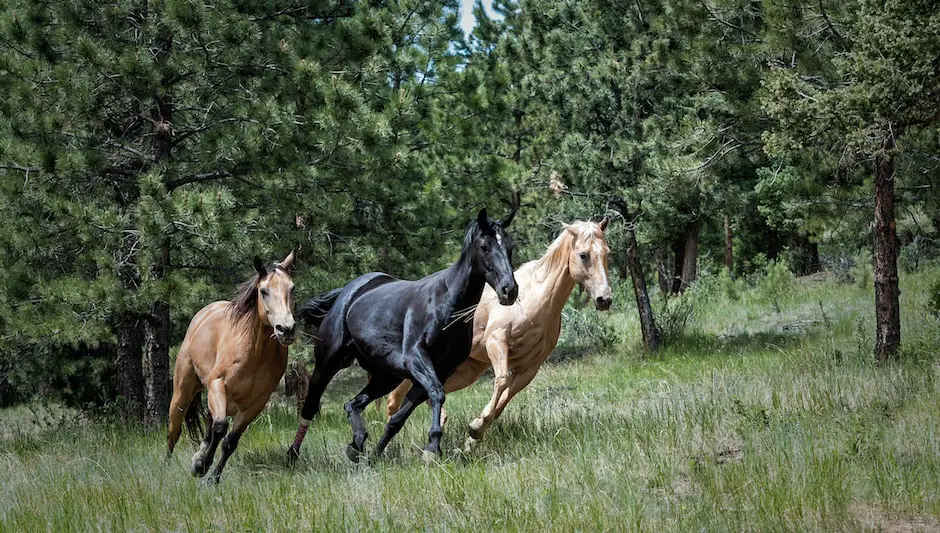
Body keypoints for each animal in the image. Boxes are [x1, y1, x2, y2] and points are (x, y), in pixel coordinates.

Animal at [167, 250, 296, 482]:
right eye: (263, 291)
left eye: (292, 288)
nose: (286, 329)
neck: (255, 353)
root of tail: (203, 314)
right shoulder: (218, 384)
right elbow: (220, 428)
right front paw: (203, 466)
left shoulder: (255, 404)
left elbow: (230, 441)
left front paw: (211, 476)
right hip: (183, 393)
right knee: (174, 430)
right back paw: (166, 467)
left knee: (209, 424)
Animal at [288, 208, 516, 462]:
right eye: (485, 246)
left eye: (510, 246)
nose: (509, 290)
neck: (446, 304)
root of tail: (348, 292)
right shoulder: (416, 358)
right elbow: (437, 394)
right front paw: (432, 447)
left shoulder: (438, 370)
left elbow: (399, 418)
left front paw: (377, 454)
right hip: (328, 363)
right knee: (311, 405)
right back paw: (293, 454)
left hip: (386, 377)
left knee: (352, 404)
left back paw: (357, 444)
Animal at [386, 219, 612, 448]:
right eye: (583, 255)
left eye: (606, 252)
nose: (604, 299)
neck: (536, 299)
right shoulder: (497, 342)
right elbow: (502, 380)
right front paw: (476, 427)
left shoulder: (530, 367)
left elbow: (506, 397)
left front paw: (474, 435)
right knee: (397, 397)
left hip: (466, 370)